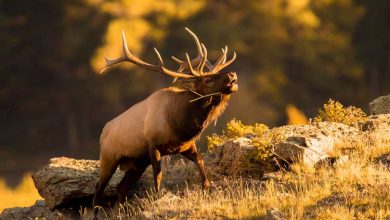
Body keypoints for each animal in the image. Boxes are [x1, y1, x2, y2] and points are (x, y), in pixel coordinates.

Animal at [93, 26, 238, 216]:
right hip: (108, 157)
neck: (180, 123)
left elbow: (200, 162)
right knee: (98, 190)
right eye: (208, 79)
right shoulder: (153, 145)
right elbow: (158, 176)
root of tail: (103, 132)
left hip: (136, 163)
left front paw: (206, 188)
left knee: (121, 188)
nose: (232, 74)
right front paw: (157, 198)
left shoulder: (187, 145)